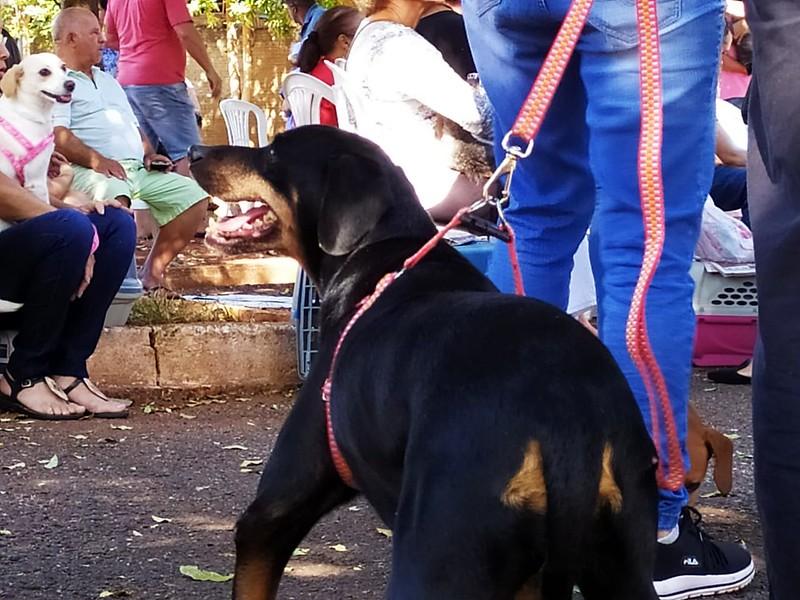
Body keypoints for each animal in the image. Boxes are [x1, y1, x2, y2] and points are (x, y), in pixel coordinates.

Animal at [191, 129, 660, 600]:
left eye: (273, 152)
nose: (195, 152)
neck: (382, 250)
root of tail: (568, 422)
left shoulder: (274, 510)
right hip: (622, 565)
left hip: (433, 555)